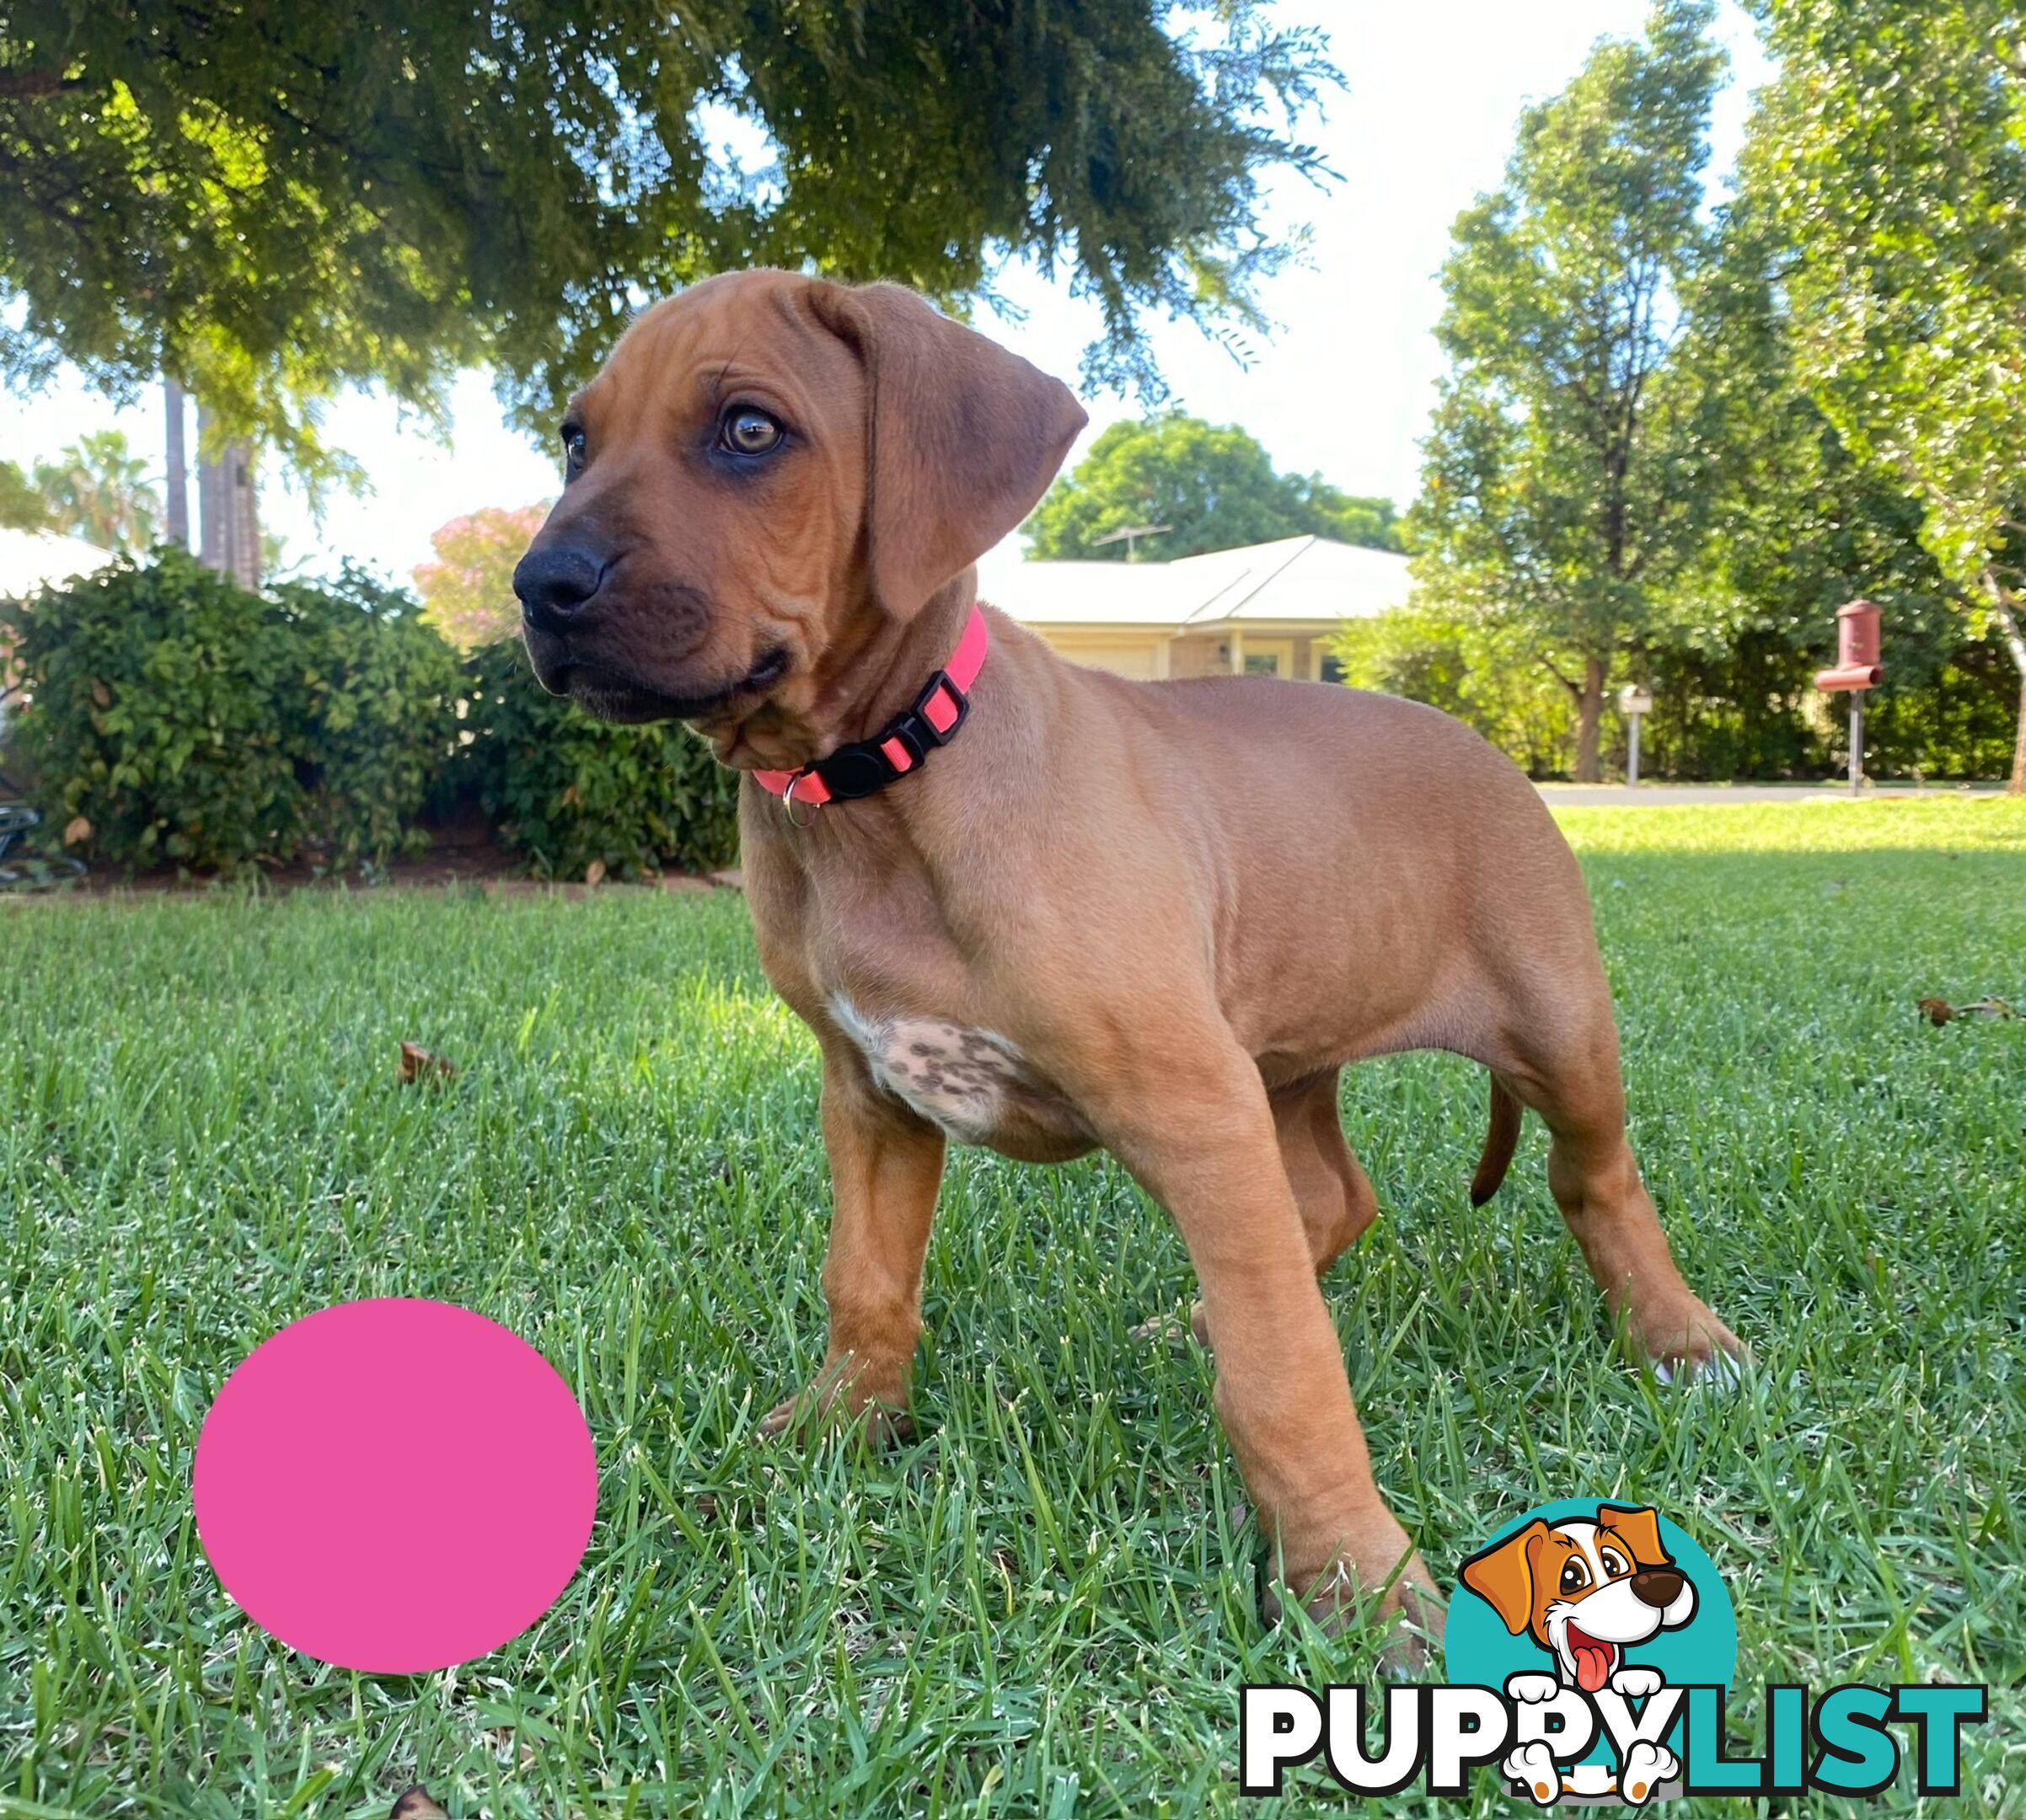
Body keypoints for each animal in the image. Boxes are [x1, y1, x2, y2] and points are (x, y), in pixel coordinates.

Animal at [518, 267, 1742, 1651]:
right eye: (574, 441)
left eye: (748, 430)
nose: (540, 583)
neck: (880, 786)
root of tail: (1489, 743)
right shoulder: (872, 1094)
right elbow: (866, 1281)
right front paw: (842, 1427)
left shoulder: (1188, 1105)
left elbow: (1285, 1374)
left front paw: (1357, 1580)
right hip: (1279, 1058)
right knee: (1329, 1200)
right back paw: (1198, 1315)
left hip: (1553, 1025)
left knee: (1592, 1179)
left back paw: (1681, 1341)